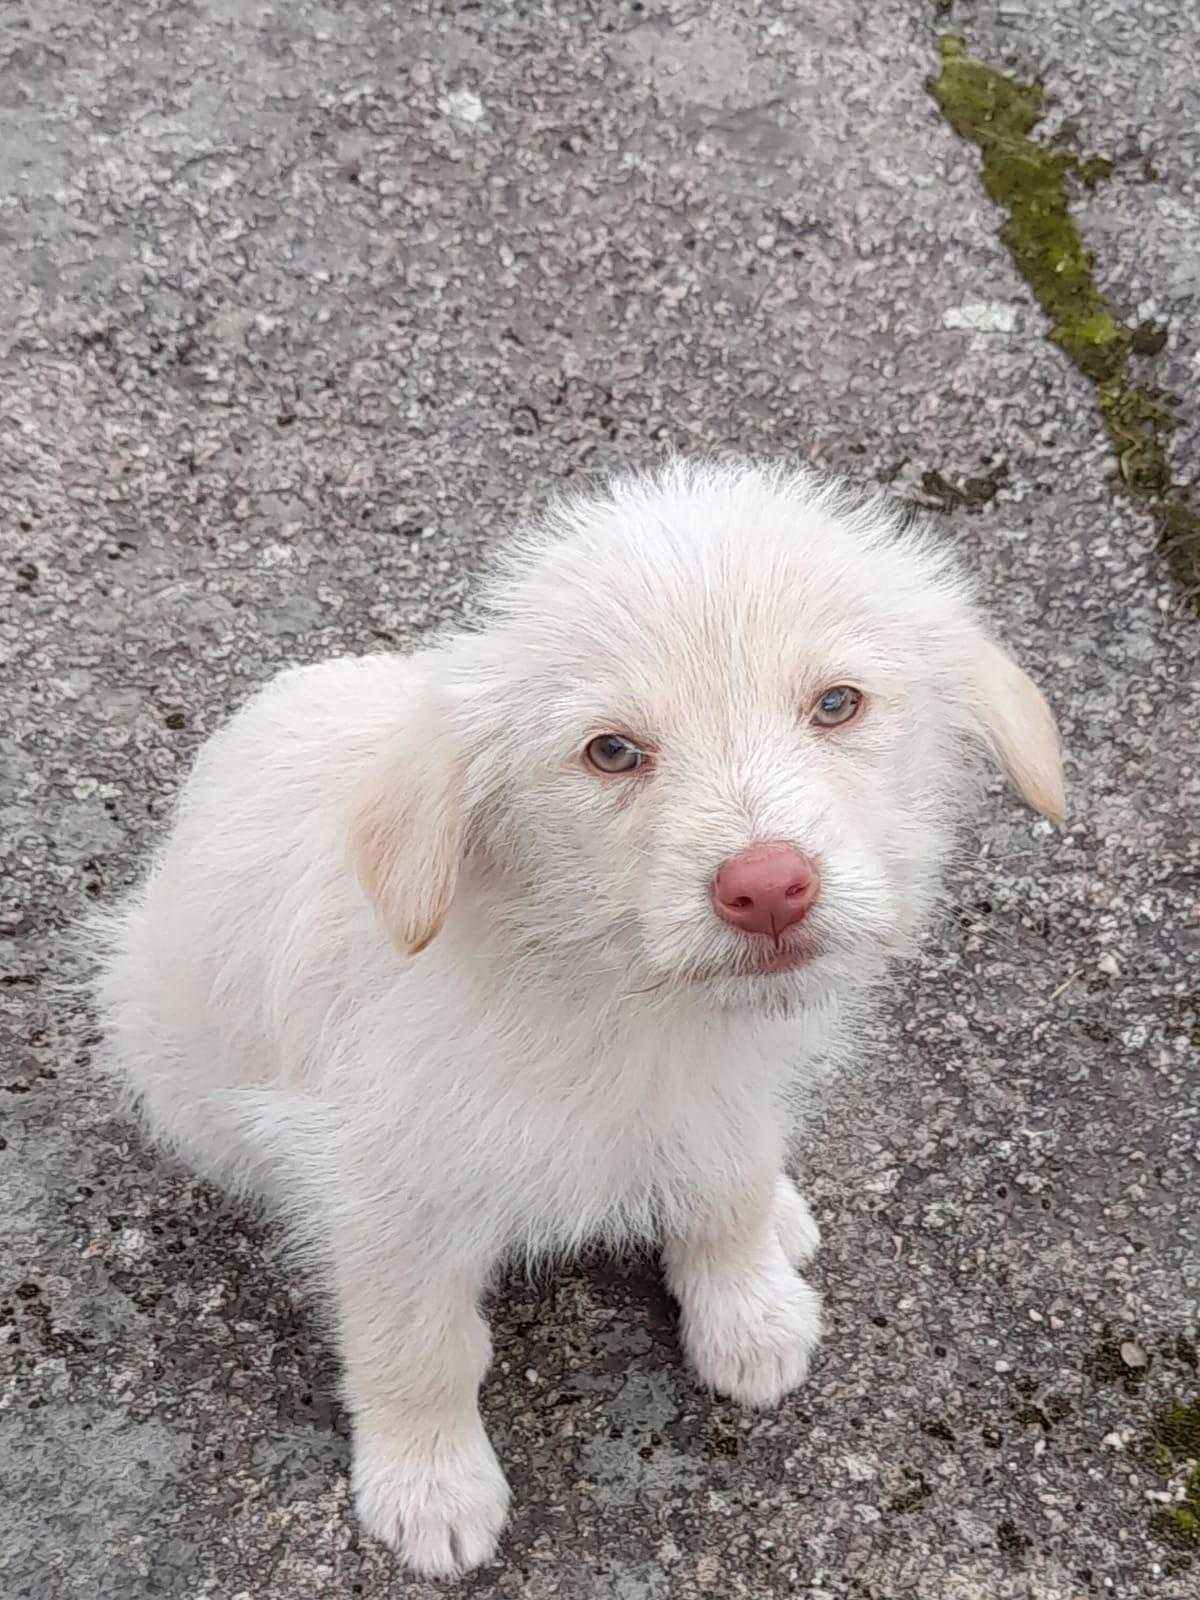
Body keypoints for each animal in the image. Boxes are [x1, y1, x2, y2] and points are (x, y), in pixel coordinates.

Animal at [96, 460, 1068, 1574]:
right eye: (611, 751)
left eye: (837, 703)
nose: (767, 889)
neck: (611, 989)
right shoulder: (384, 1191)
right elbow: (416, 1344)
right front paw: (429, 1477)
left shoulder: (728, 1083)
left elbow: (728, 1187)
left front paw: (748, 1308)